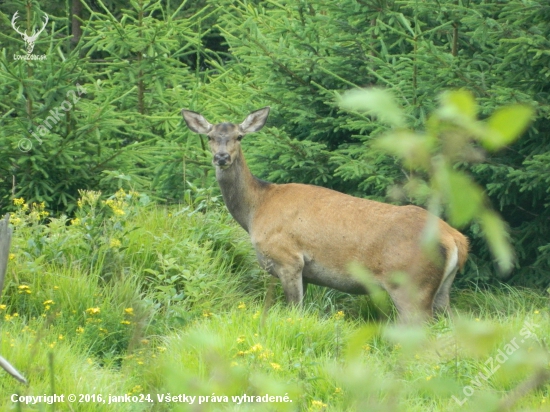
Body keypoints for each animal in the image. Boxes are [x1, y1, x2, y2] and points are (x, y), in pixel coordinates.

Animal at [183, 106, 468, 322]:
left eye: (239, 136)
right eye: (211, 137)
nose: (221, 157)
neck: (256, 210)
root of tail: (454, 238)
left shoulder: (288, 259)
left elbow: (294, 311)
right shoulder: (305, 272)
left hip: (411, 285)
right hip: (442, 289)